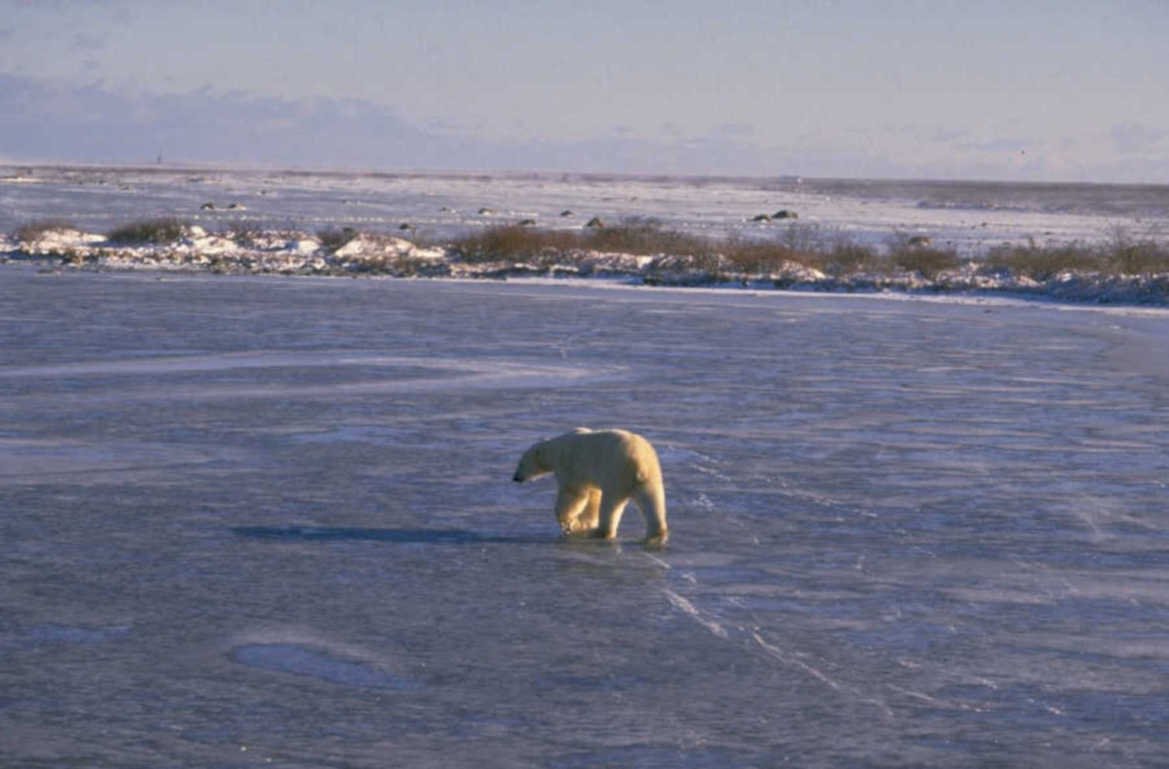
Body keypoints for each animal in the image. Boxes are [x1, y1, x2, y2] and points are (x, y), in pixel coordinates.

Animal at [513, 427, 668, 546]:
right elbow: (592, 496)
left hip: (616, 473)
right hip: (650, 476)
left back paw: (599, 532)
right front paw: (584, 523)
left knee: (610, 504)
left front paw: (569, 523)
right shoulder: (588, 476)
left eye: (520, 463)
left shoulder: (569, 466)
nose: (515, 477)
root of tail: (639, 463)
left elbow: (573, 494)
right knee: (653, 500)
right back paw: (656, 534)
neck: (557, 449)